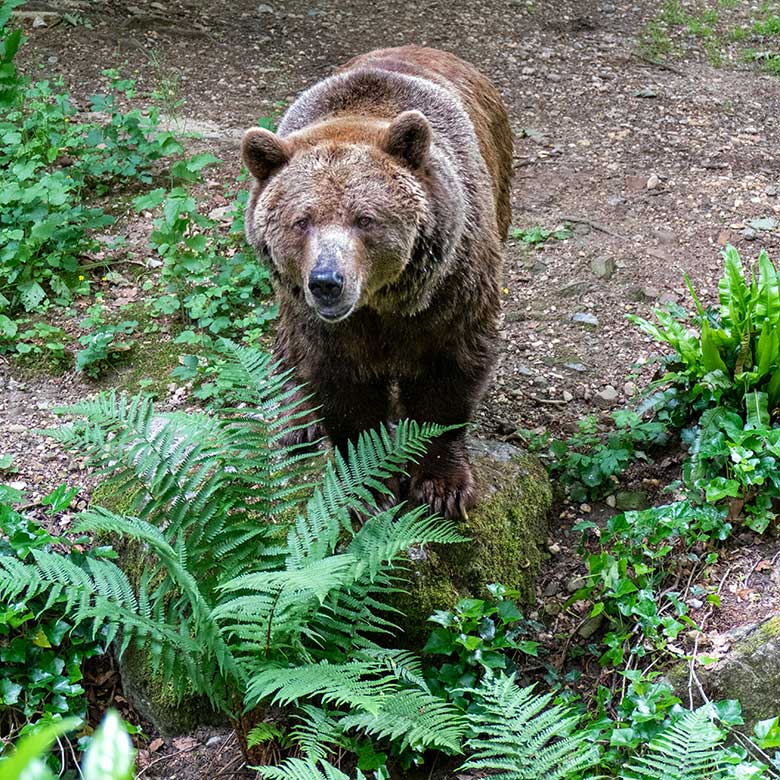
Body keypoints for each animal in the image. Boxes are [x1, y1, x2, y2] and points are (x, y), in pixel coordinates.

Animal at [242, 42, 512, 516]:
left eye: (364, 218)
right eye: (301, 221)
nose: (327, 281)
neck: (381, 303)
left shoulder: (452, 289)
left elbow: (450, 374)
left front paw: (442, 486)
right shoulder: (330, 328)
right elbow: (343, 389)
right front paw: (366, 488)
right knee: (289, 346)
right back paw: (296, 421)